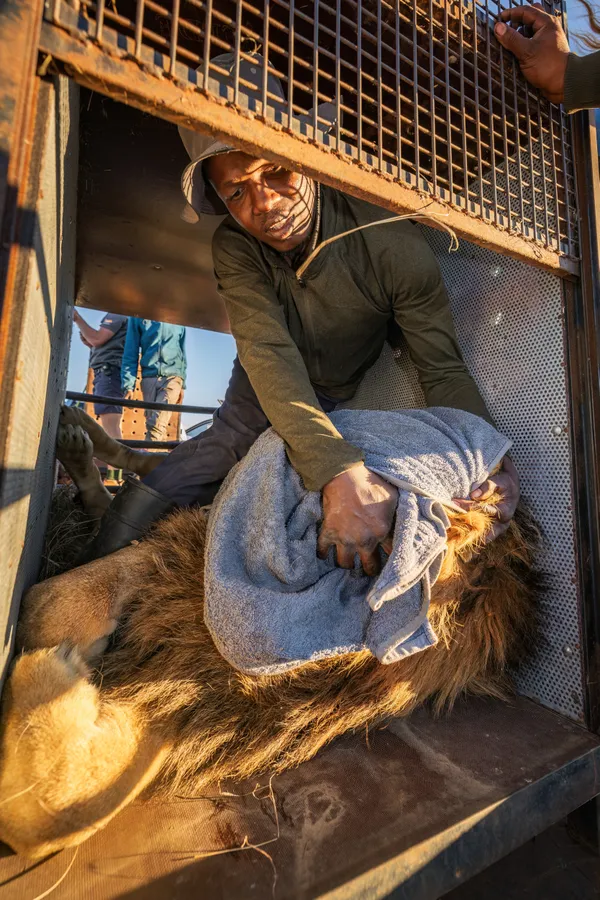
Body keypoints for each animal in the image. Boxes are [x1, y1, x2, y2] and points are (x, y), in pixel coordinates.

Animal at [0, 407, 541, 860]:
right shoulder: (176, 560)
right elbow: (47, 605)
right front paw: (61, 657)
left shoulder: (194, 699)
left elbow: (50, 809)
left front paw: (52, 671)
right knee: (150, 465)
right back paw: (78, 434)